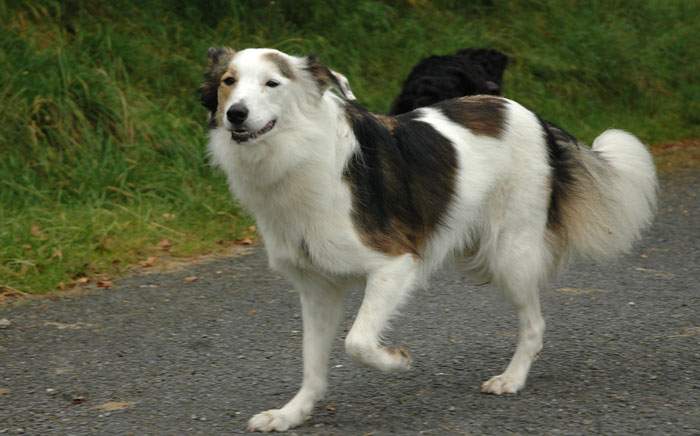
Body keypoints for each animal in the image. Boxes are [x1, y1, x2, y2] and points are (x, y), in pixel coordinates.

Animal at [201, 46, 656, 430]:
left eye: (272, 83)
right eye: (228, 81)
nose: (236, 115)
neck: (299, 155)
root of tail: (529, 115)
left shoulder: (394, 262)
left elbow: (357, 341)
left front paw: (396, 361)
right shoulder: (317, 288)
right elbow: (312, 362)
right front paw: (291, 414)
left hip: (511, 252)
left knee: (534, 324)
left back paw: (511, 378)